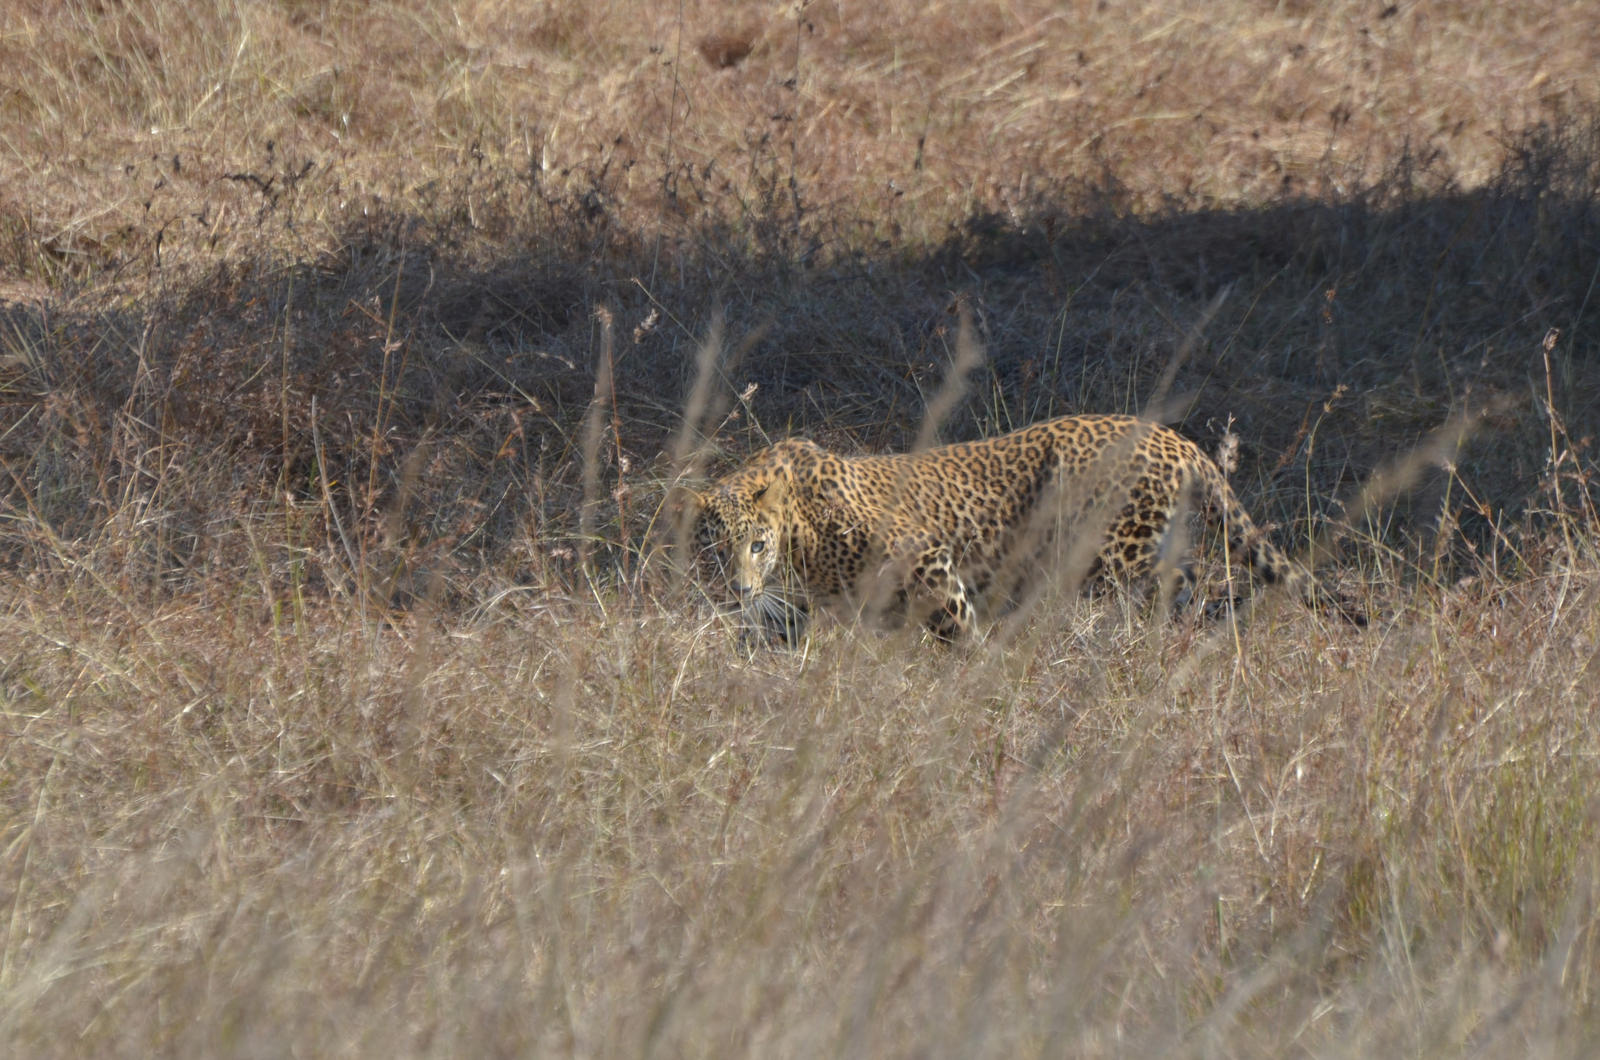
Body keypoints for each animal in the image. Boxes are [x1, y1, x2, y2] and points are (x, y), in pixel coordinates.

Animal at [689, 414, 1363, 644]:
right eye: (717, 551)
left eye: (756, 545)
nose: (737, 590)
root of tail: (1174, 438)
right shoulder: (794, 607)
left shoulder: (926, 556)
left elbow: (958, 625)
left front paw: (975, 670)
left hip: (1109, 549)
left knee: (1182, 582)